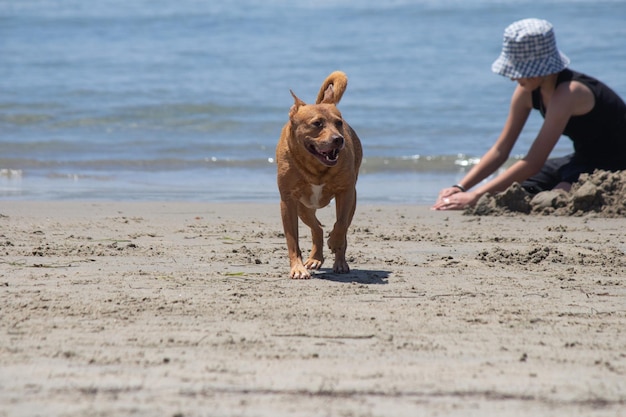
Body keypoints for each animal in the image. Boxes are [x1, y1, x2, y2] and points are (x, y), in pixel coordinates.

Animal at [276, 71, 364, 280]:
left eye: (339, 123)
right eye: (317, 123)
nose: (338, 139)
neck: (316, 167)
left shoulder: (346, 192)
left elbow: (341, 224)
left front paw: (335, 242)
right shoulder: (288, 200)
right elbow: (292, 239)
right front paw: (298, 268)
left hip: (351, 201)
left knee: (339, 228)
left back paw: (340, 262)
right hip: (303, 207)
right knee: (317, 228)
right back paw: (315, 258)